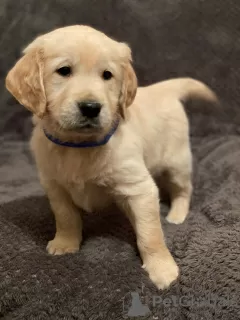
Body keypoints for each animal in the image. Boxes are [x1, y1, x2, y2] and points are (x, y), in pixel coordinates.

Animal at [5, 25, 216, 290]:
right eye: (64, 71)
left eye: (107, 75)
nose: (91, 107)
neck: (80, 145)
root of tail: (163, 88)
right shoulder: (54, 186)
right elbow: (66, 217)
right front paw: (65, 244)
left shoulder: (140, 189)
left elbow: (150, 234)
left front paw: (163, 268)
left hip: (177, 162)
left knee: (183, 189)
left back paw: (176, 215)